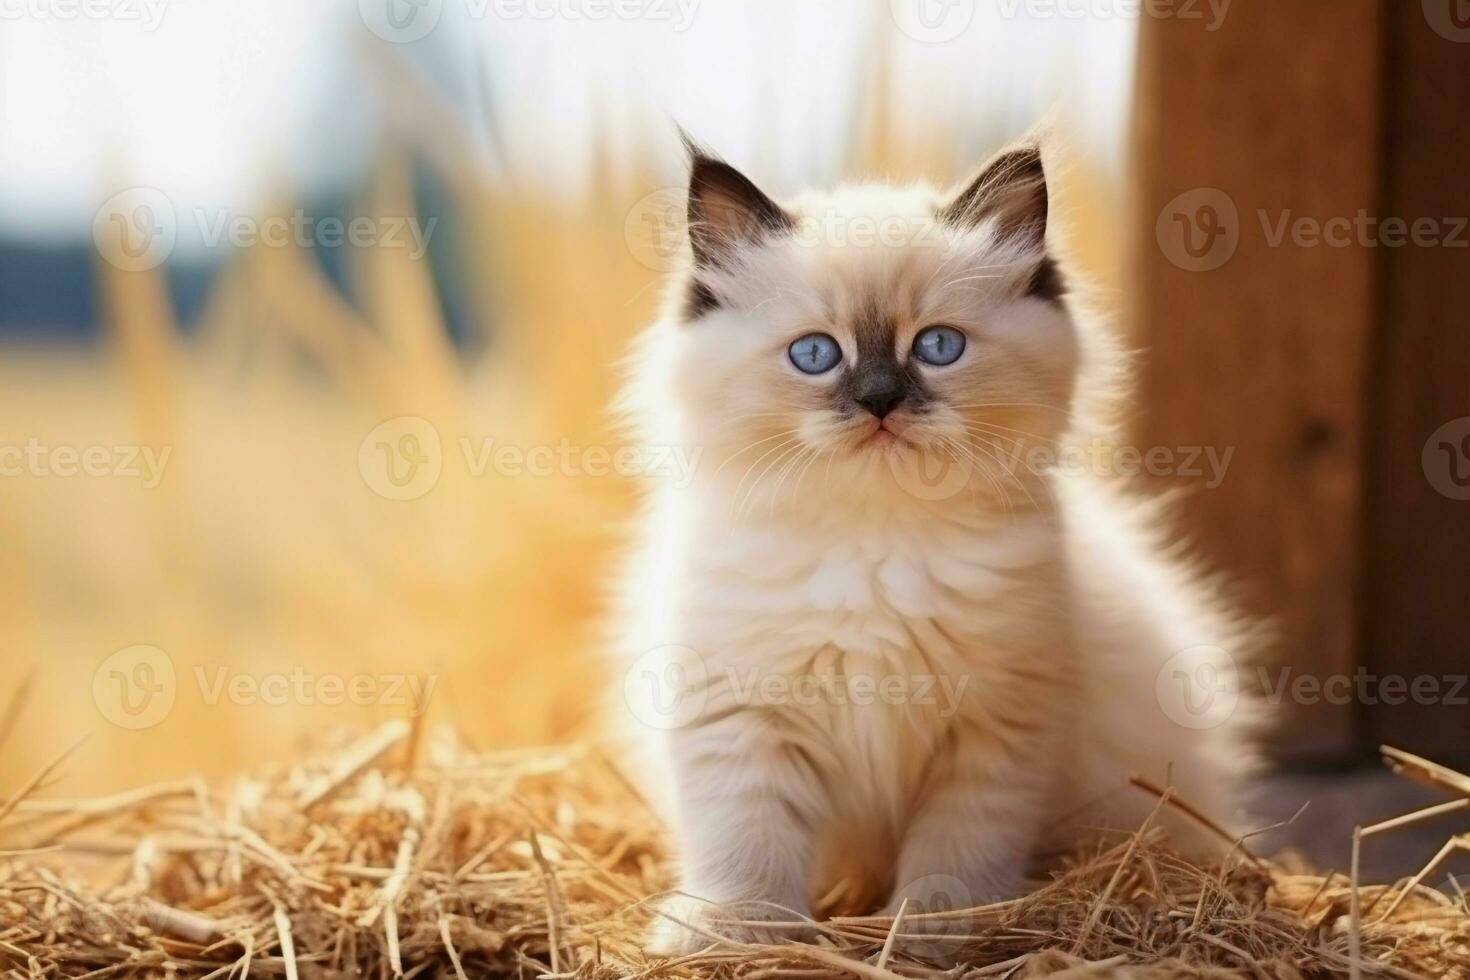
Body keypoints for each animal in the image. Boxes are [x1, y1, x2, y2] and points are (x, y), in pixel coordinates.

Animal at [608, 134, 1264, 952]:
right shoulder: (743, 720)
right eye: (816, 355)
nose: (880, 401)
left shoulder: (993, 730)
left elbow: (953, 856)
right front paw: (732, 932)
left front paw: (928, 934)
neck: (874, 552)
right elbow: (746, 846)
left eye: (938, 347)